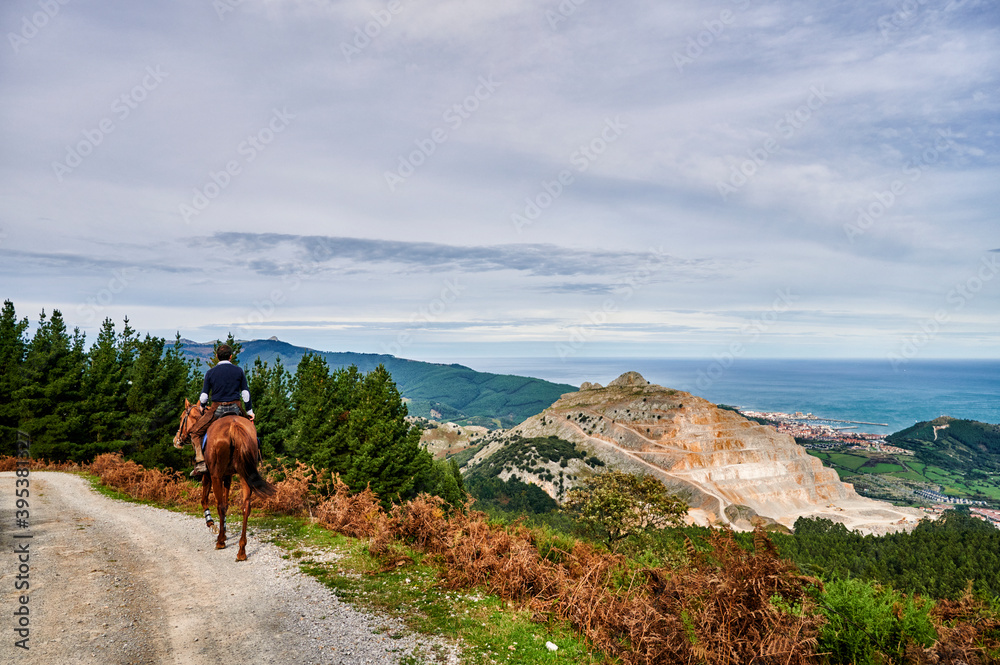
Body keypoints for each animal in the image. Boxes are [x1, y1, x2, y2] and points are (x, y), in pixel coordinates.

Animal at [171, 400, 274, 560]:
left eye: (182, 417)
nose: (177, 439)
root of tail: (233, 425)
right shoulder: (228, 476)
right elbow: (226, 503)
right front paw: (223, 530)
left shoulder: (209, 475)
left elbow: (205, 500)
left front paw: (212, 524)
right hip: (244, 474)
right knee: (245, 507)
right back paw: (241, 550)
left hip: (216, 475)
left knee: (219, 506)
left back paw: (220, 542)